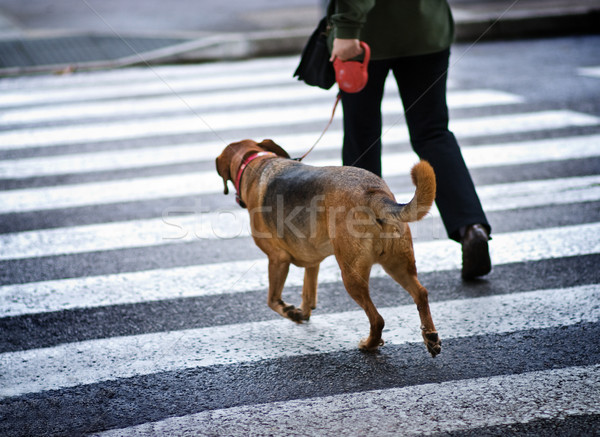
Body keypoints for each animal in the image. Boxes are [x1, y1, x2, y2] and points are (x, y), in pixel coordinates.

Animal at [216, 138, 440, 356]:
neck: (257, 161)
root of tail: (373, 194)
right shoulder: (311, 259)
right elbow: (307, 291)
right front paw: (302, 313)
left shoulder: (277, 259)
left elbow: (272, 299)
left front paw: (290, 312)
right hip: (398, 264)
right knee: (421, 293)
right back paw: (430, 336)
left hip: (351, 275)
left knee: (377, 319)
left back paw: (369, 345)